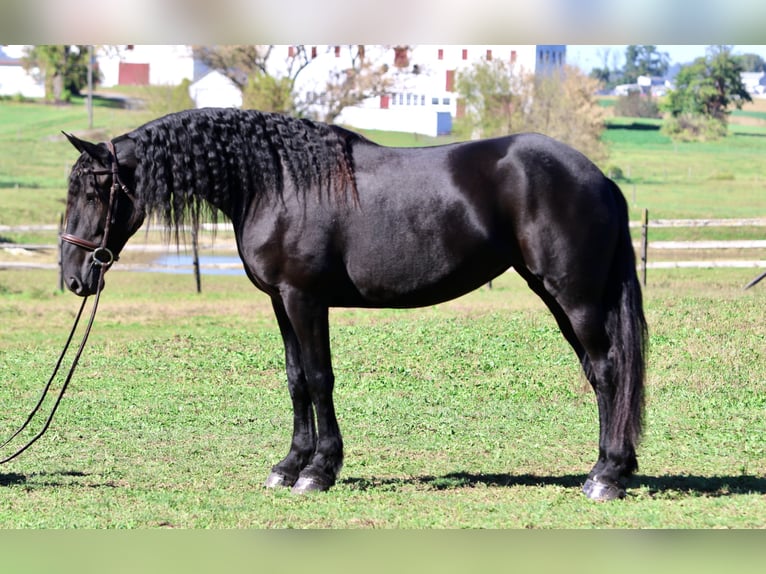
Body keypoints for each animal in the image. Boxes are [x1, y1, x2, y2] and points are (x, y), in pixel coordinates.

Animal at [60, 108, 647, 501]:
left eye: (91, 192)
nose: (73, 278)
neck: (278, 183)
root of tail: (598, 178)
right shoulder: (281, 303)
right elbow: (296, 379)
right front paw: (288, 466)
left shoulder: (305, 300)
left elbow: (320, 379)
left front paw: (319, 471)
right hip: (559, 295)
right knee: (600, 373)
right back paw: (613, 468)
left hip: (574, 296)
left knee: (607, 369)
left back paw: (605, 477)